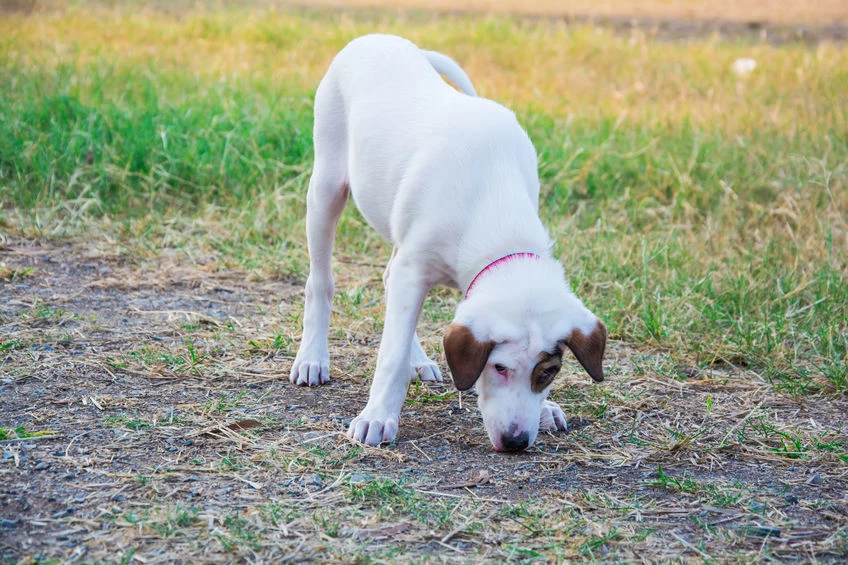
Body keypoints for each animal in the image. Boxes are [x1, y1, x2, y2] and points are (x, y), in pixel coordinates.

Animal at [288, 34, 608, 450]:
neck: (494, 206)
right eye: (499, 367)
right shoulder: (414, 269)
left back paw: (418, 360)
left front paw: (547, 407)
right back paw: (312, 357)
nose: (517, 442)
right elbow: (390, 354)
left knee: (388, 280)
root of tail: (382, 37)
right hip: (326, 187)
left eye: (548, 372)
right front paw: (378, 416)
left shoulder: (418, 266)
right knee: (321, 281)